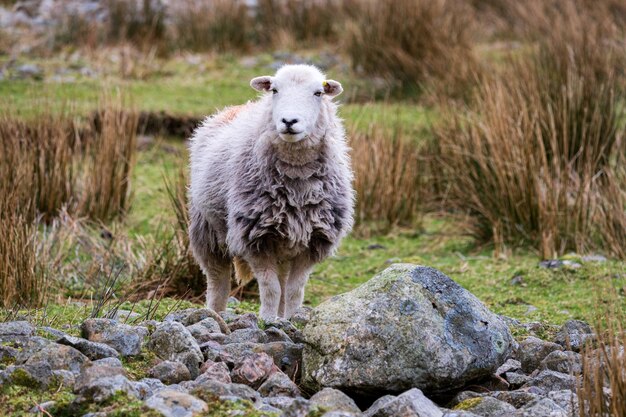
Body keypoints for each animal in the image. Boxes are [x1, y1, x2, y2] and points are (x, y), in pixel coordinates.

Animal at [188, 64, 354, 318]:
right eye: (274, 90)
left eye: (318, 93)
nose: (289, 121)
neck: (297, 179)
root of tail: (235, 108)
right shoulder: (255, 238)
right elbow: (270, 288)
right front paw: (266, 320)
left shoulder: (313, 241)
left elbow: (294, 291)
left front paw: (292, 319)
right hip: (206, 230)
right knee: (218, 280)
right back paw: (215, 314)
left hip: (286, 245)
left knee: (284, 283)